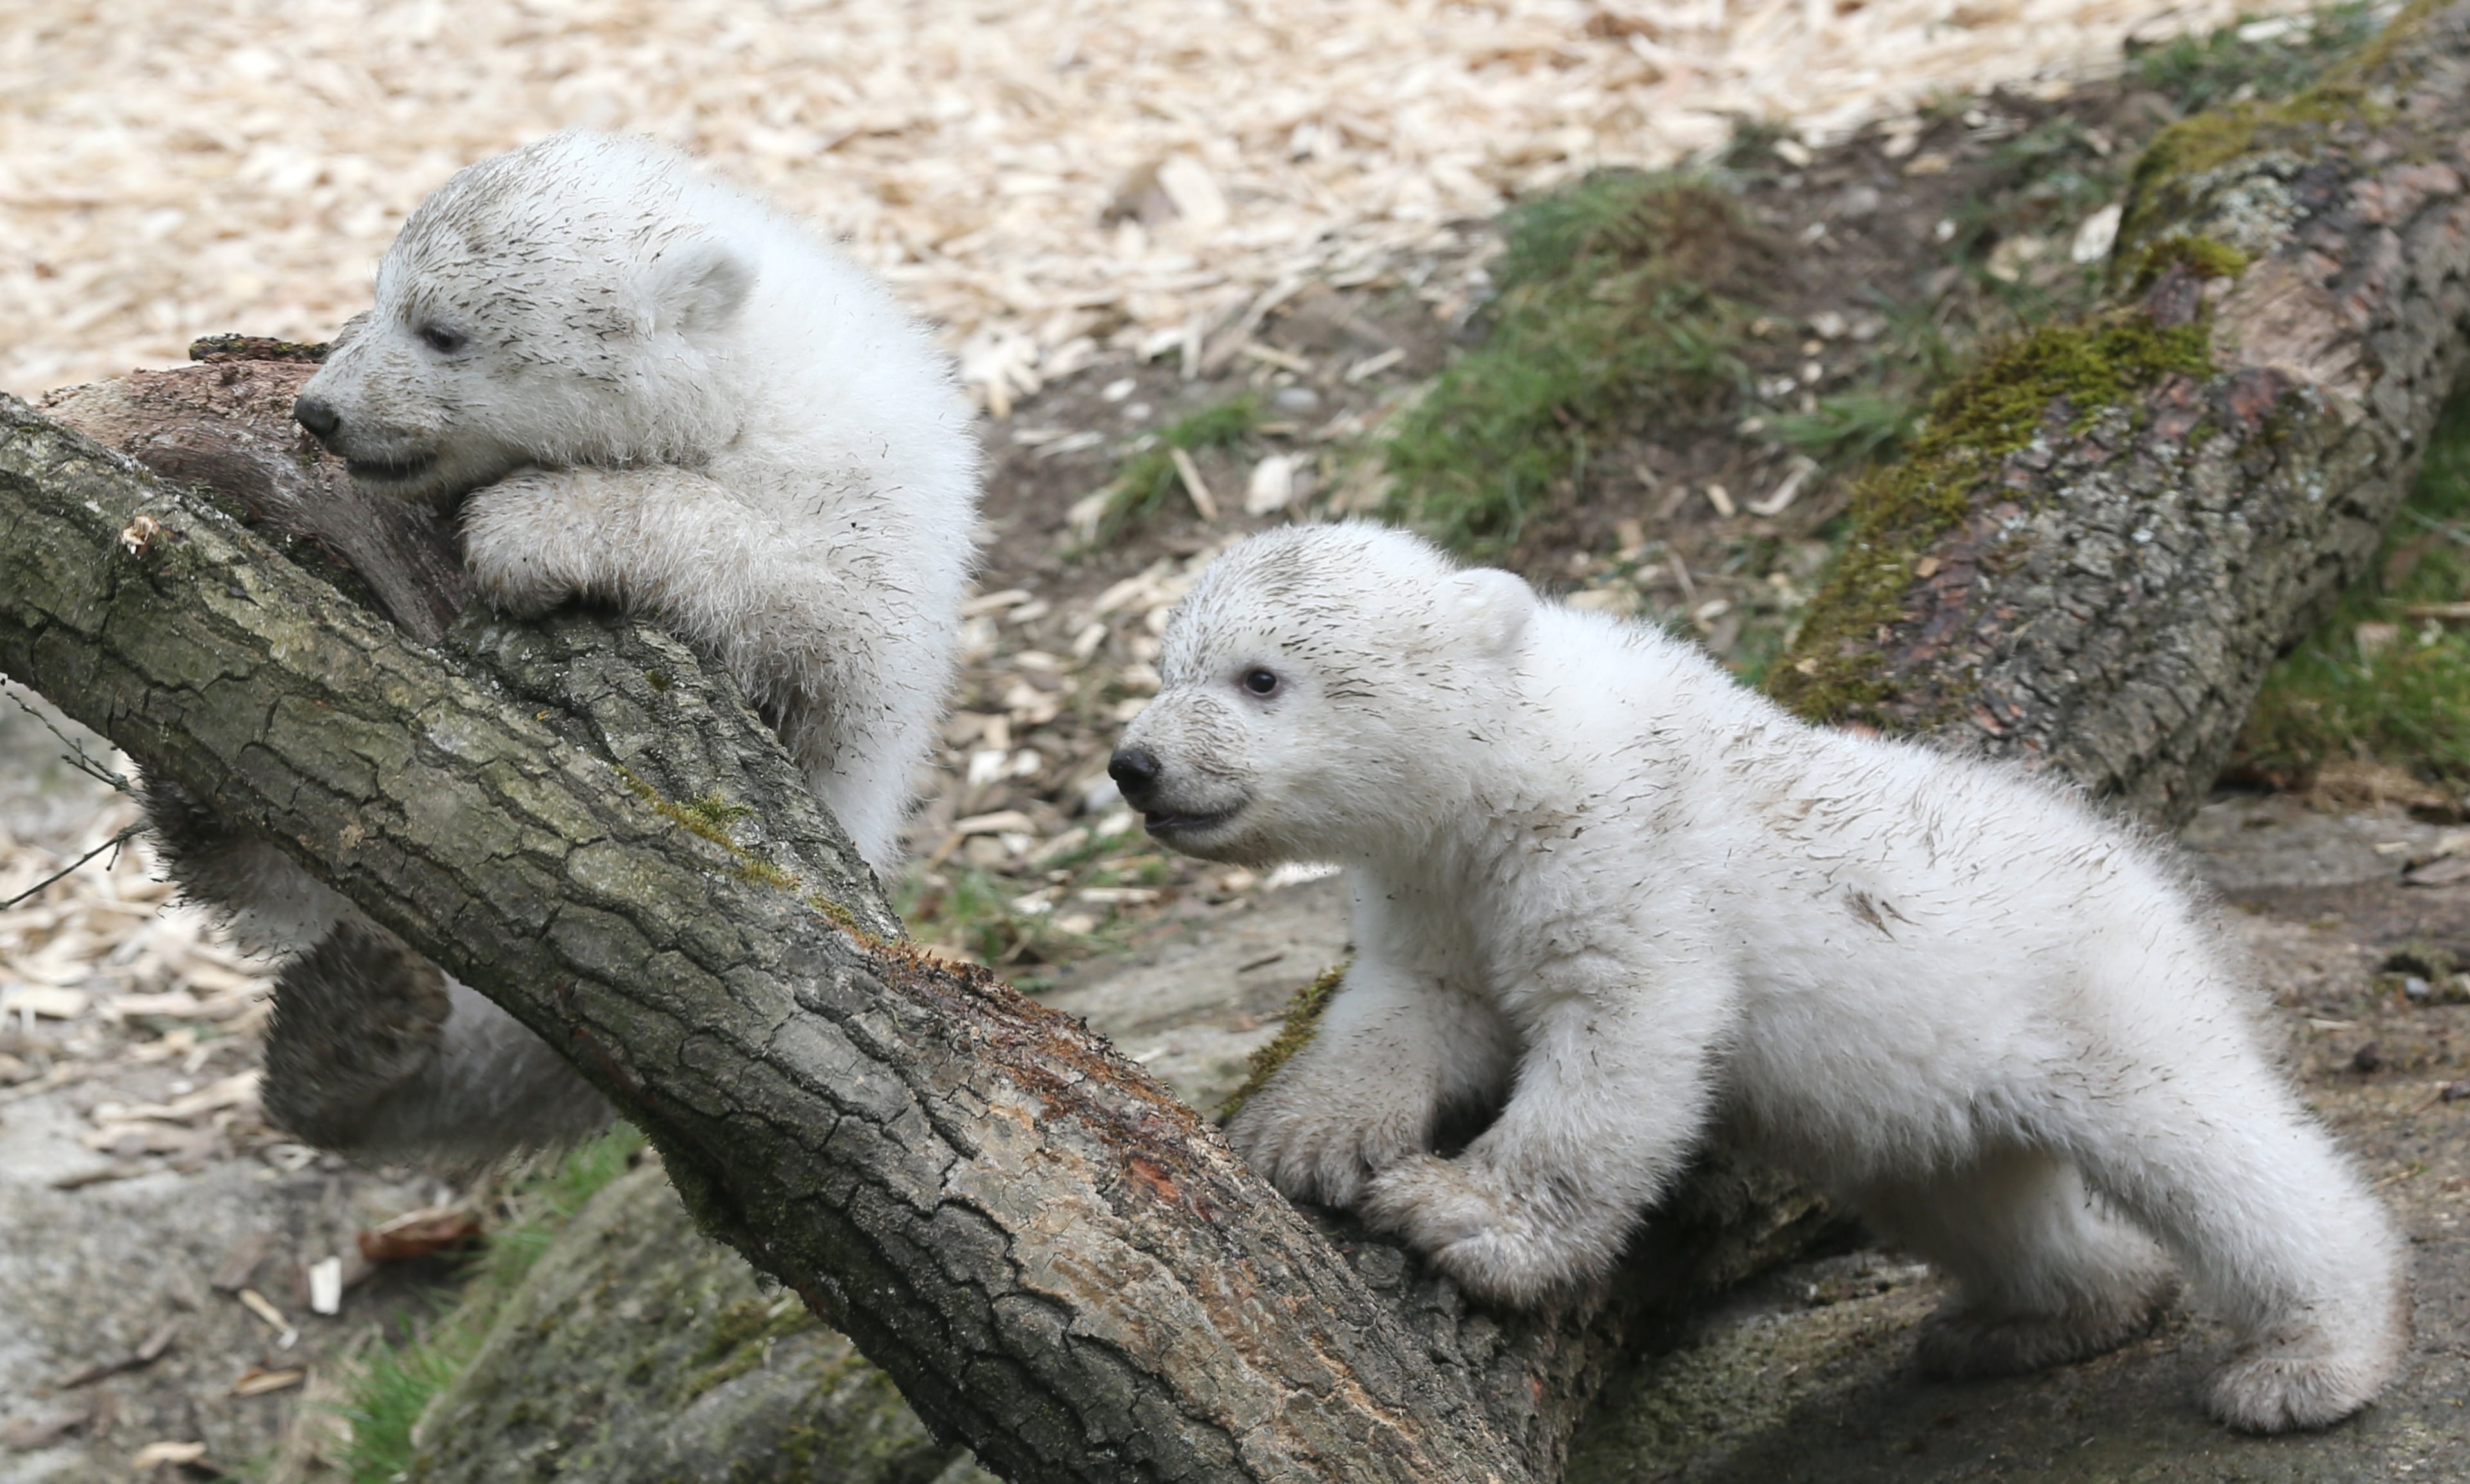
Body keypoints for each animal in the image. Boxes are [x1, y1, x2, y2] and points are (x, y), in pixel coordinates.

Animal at [158, 131, 979, 1161]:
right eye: (383, 296)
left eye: (443, 331)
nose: (320, 412)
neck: (752, 369)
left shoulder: (864, 542)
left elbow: (805, 607)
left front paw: (533, 528)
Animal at [1107, 521, 2407, 1434]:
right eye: (1167, 667)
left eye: (1260, 676)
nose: (1135, 764)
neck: (1507, 752)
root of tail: (2134, 859)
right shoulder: (1437, 886)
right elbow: (1417, 1004)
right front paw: (1303, 1135)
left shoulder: (1612, 850)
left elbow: (1623, 1035)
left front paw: (1461, 1215)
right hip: (1931, 1089)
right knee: (1972, 1200)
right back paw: (2045, 1315)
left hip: (2094, 994)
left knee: (2214, 1153)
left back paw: (2309, 1359)